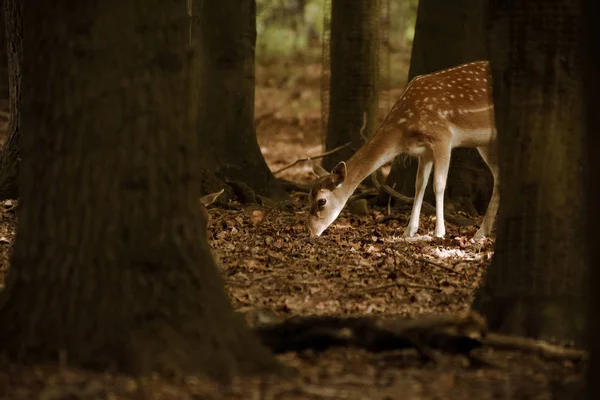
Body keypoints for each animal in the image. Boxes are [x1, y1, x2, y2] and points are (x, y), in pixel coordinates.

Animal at [308, 61, 500, 239]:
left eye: (322, 201)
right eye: (309, 195)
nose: (310, 231)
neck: (404, 129)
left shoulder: (443, 137)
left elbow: (438, 185)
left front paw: (439, 232)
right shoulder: (424, 151)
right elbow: (419, 185)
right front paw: (409, 231)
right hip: (486, 143)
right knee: (498, 176)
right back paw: (481, 233)